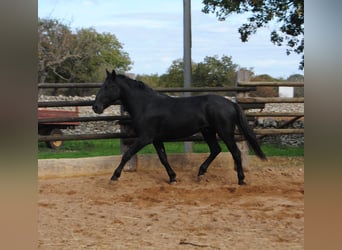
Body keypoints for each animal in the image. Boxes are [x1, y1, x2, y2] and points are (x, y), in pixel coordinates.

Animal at [93, 70, 268, 186]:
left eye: (109, 86)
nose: (96, 107)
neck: (146, 105)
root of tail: (231, 103)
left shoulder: (145, 138)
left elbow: (127, 154)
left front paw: (114, 177)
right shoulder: (156, 139)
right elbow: (163, 158)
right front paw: (172, 178)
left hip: (224, 132)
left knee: (235, 153)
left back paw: (241, 180)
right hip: (208, 131)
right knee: (215, 150)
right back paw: (200, 173)